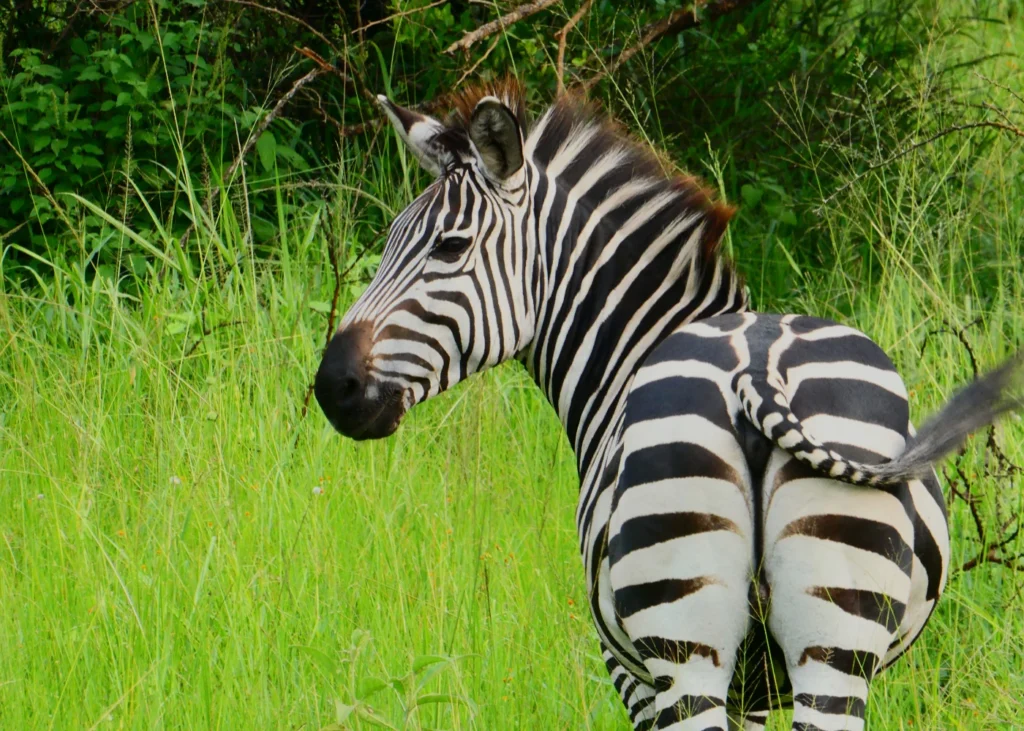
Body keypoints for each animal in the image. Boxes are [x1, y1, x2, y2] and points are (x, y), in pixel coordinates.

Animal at [314, 79, 1022, 730]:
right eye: (390, 241)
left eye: (451, 247)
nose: (331, 386)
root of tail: (756, 375)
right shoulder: (757, 688)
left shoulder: (631, 672)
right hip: (833, 649)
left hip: (685, 644)